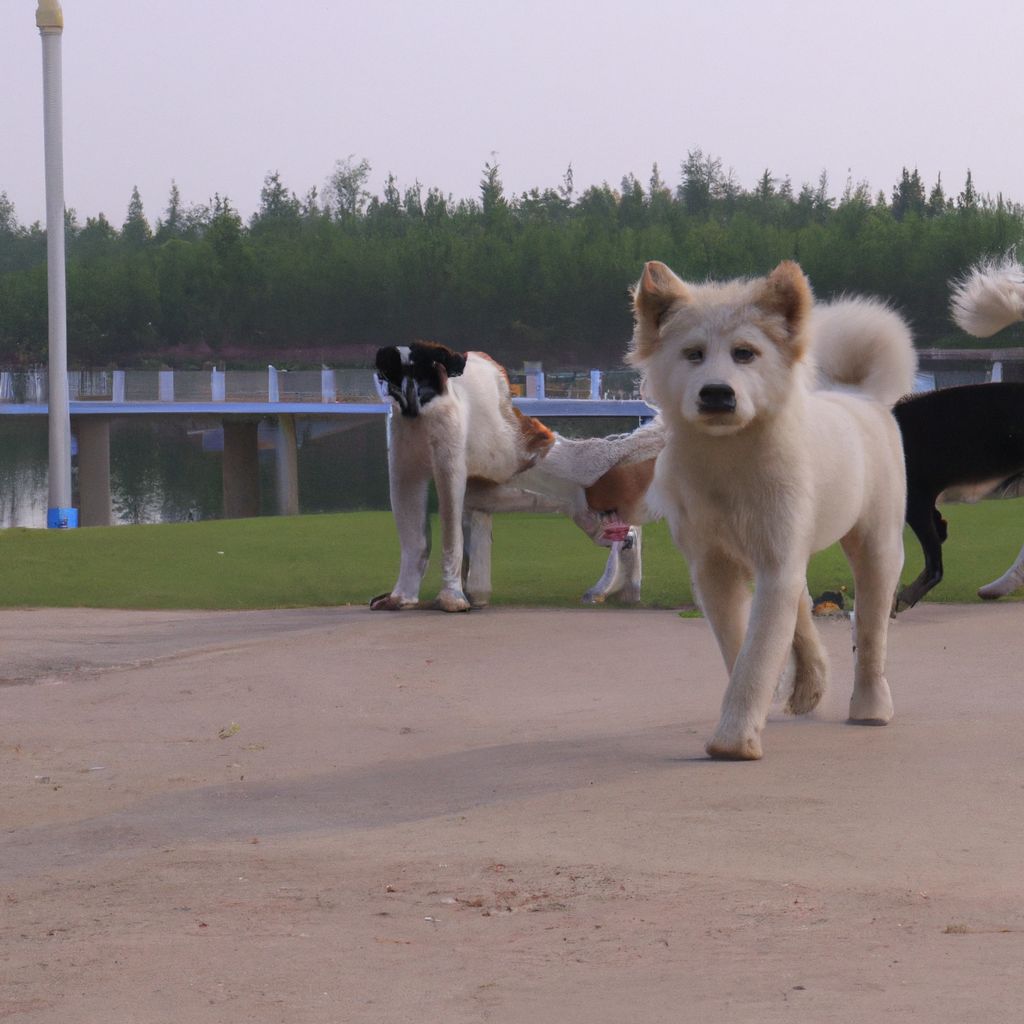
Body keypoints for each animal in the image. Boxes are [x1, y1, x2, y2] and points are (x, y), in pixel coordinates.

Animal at [368, 344, 663, 610]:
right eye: (390, 374)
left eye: (418, 370)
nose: (406, 394)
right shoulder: (405, 459)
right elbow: (414, 533)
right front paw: (402, 598)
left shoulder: (449, 451)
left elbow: (450, 530)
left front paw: (452, 598)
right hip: (583, 506)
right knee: (620, 531)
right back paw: (617, 587)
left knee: (622, 527)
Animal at [634, 264, 917, 761]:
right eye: (693, 354)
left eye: (745, 353)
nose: (717, 394)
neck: (728, 461)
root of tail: (858, 395)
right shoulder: (715, 567)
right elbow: (739, 647)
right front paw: (749, 720)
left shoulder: (775, 562)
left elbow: (758, 652)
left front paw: (734, 740)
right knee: (806, 610)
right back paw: (809, 686)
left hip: (877, 549)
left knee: (870, 632)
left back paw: (870, 706)